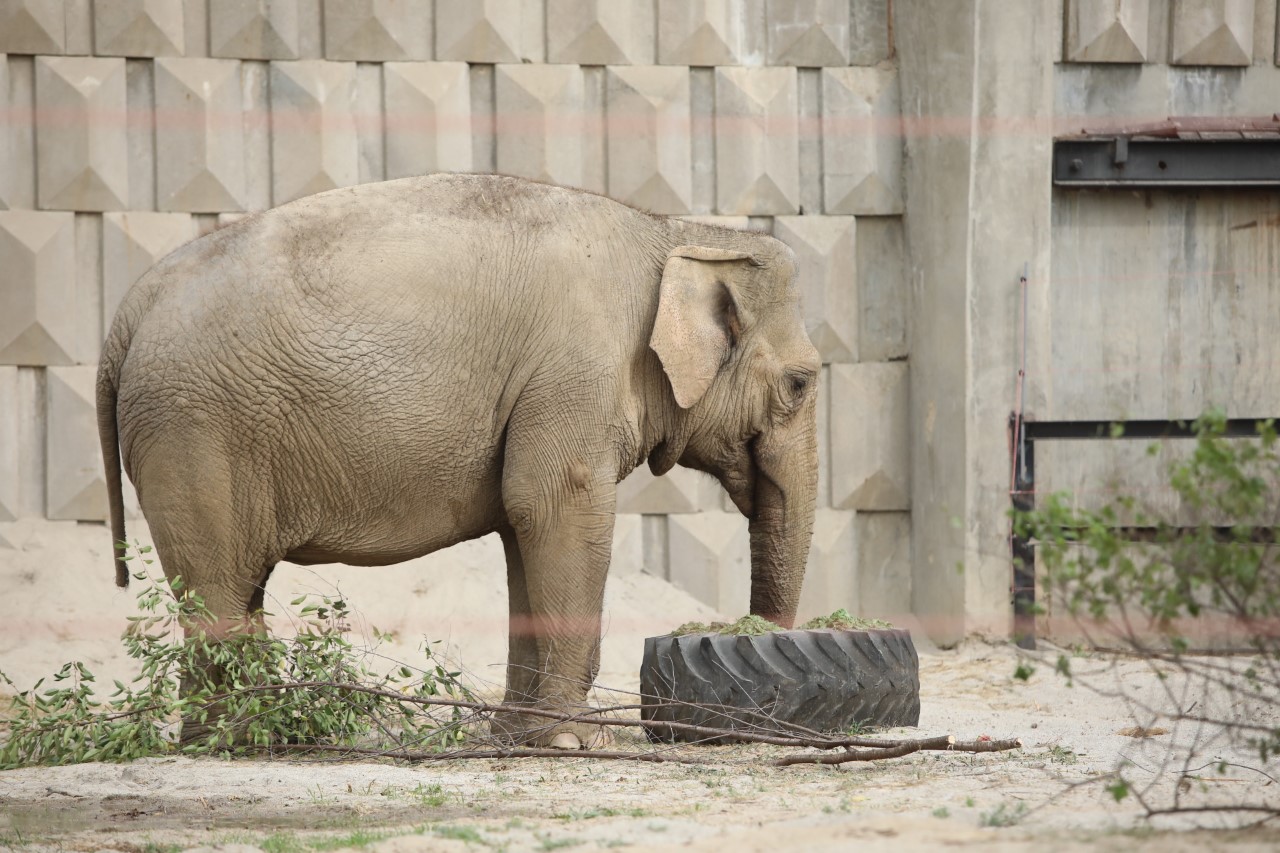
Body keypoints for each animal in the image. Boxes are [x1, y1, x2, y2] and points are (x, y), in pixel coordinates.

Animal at [99, 172, 819, 742]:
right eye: (801, 383)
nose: (754, 630)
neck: (676, 232)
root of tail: (128, 309)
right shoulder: (575, 373)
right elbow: (557, 504)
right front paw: (572, 742)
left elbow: (523, 525)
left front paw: (518, 736)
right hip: (193, 432)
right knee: (217, 592)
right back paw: (236, 741)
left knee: (240, 587)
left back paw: (263, 734)